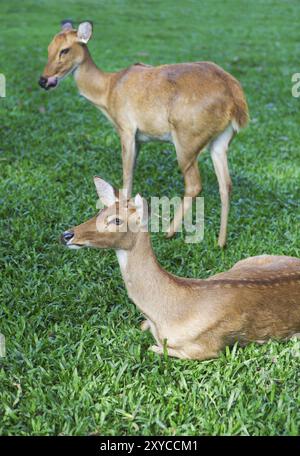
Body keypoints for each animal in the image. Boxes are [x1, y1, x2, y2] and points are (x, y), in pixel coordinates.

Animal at [39, 19, 248, 248]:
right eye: (48, 47)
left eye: (65, 50)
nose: (44, 80)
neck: (108, 91)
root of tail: (236, 101)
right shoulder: (140, 139)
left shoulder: (127, 129)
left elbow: (127, 174)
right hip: (220, 141)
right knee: (226, 185)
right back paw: (220, 242)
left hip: (187, 139)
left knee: (194, 184)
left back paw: (169, 232)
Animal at [61, 177, 300, 360]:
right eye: (98, 213)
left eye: (117, 220)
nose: (67, 235)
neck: (165, 313)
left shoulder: (206, 347)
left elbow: (156, 347)